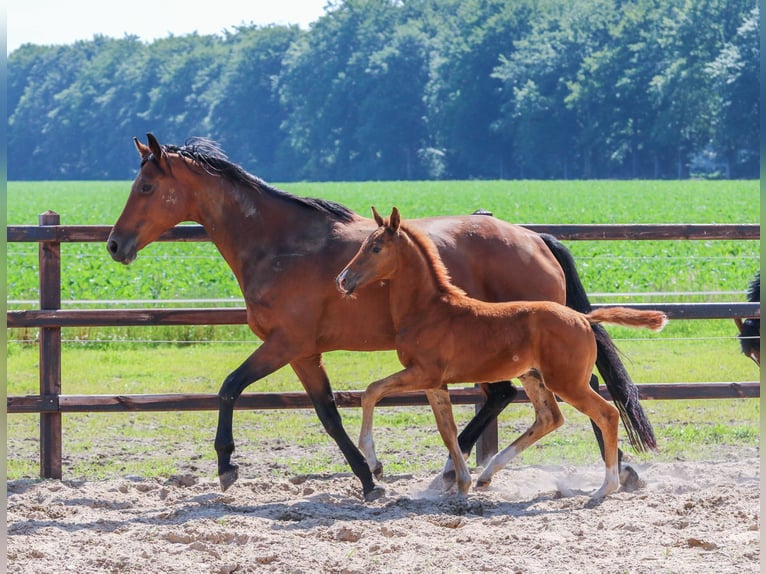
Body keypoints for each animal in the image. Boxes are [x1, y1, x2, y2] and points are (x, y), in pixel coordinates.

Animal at [340, 209, 668, 502]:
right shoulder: (434, 382)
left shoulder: (423, 373)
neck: (429, 309)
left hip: (566, 382)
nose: (343, 279)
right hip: (533, 376)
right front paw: (461, 484)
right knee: (549, 418)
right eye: (363, 244)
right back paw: (487, 475)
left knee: (606, 414)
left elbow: (371, 392)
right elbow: (447, 430)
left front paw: (377, 465)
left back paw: (606, 487)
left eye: (376, 247)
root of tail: (583, 318)